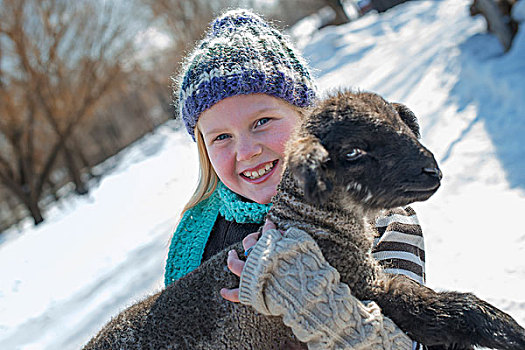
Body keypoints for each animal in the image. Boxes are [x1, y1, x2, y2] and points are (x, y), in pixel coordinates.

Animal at [83, 91, 524, 350]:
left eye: (402, 125)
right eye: (352, 152)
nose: (432, 171)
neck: (313, 225)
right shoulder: (368, 290)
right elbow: (446, 309)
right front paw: (508, 331)